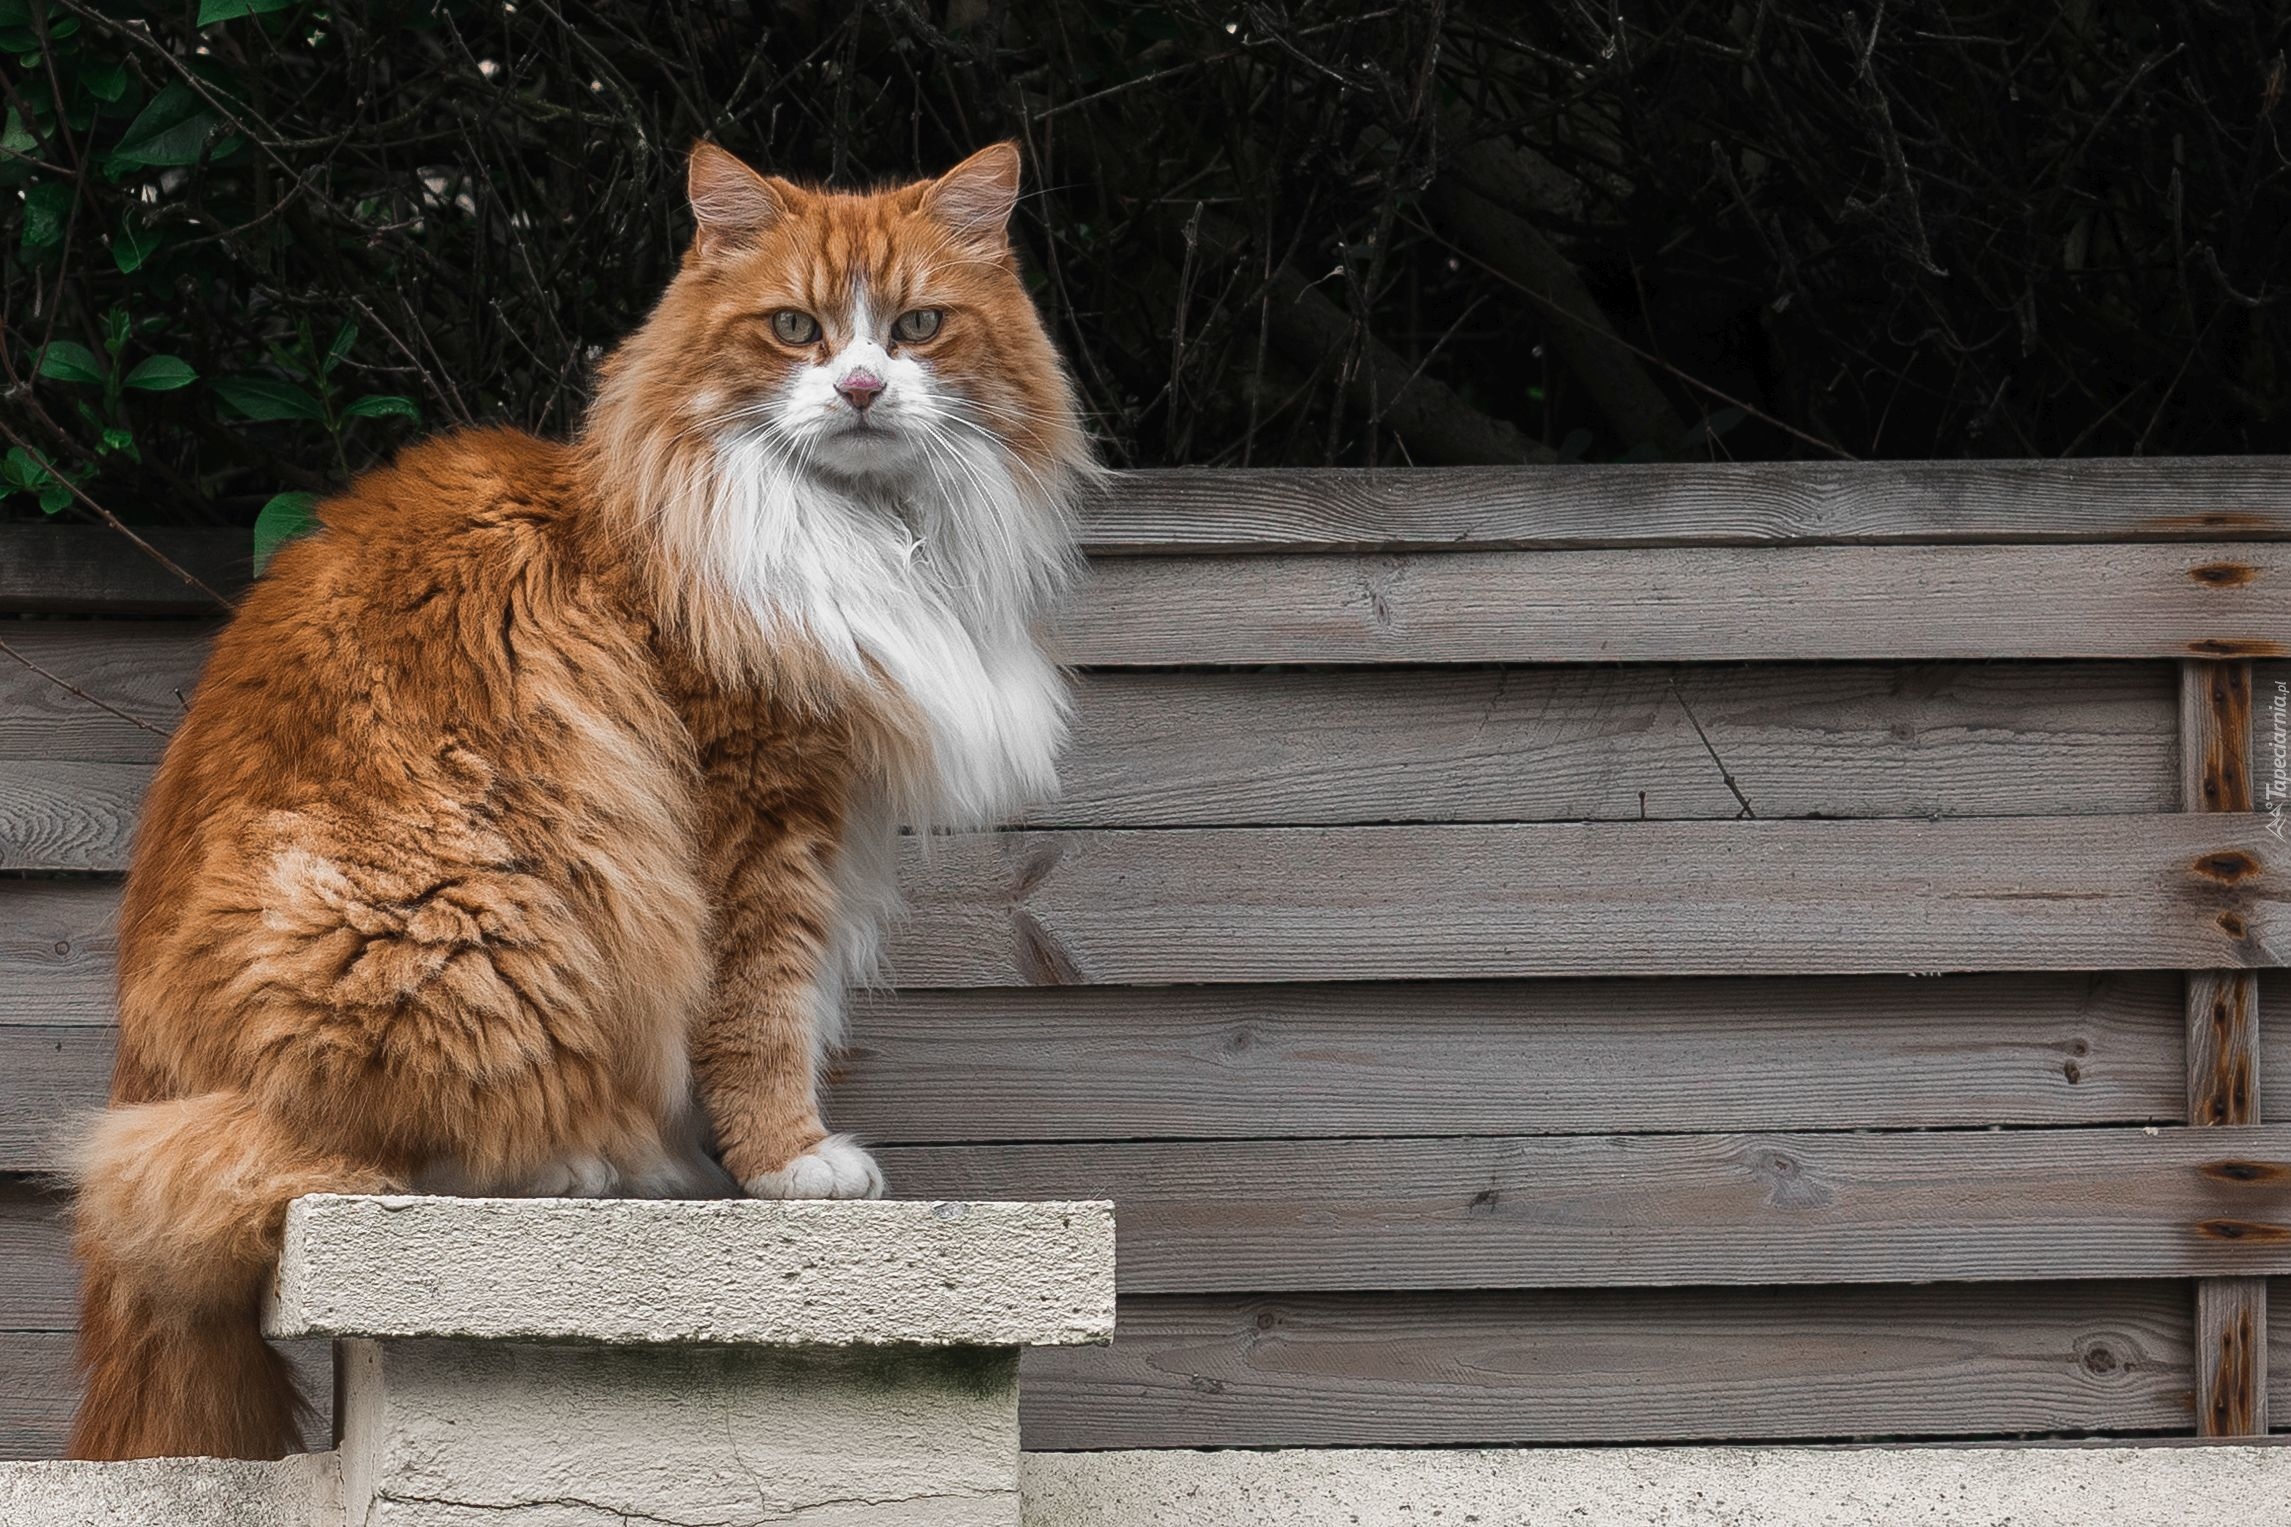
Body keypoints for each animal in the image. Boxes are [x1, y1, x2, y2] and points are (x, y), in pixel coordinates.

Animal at [71, 146, 1090, 1465]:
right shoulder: (754, 804)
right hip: (462, 919)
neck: (844, 534)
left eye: (917, 327)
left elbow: (781, 1006)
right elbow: (761, 1008)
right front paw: (787, 1161)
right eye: (795, 329)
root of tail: (139, 1072)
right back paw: (584, 1166)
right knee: (290, 1170)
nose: (863, 386)